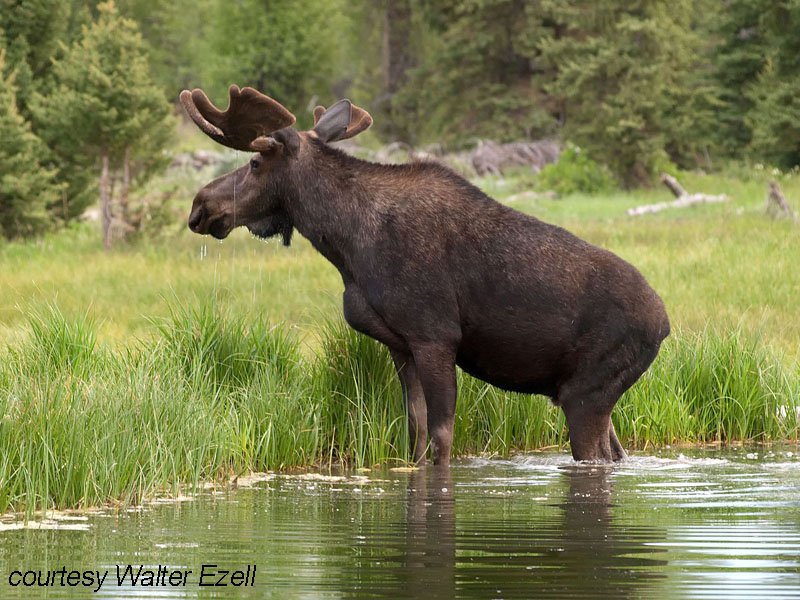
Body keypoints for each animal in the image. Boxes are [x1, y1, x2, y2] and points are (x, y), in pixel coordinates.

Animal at [180, 85, 670, 467]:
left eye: (255, 163)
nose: (200, 205)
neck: (347, 245)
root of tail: (664, 325)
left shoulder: (435, 336)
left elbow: (441, 439)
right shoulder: (401, 345)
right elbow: (414, 434)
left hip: (585, 394)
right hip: (596, 397)